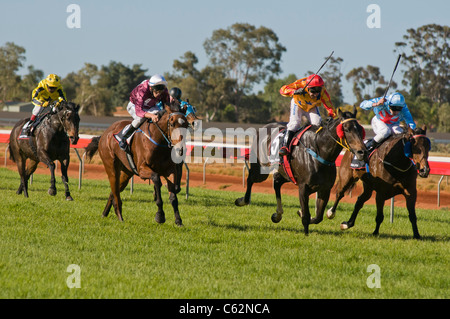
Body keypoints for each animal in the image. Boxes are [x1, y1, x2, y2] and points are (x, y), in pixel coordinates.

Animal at [234, 107, 368, 235]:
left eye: (360, 130)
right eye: (346, 129)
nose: (363, 152)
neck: (319, 152)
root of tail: (264, 127)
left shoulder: (325, 189)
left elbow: (318, 217)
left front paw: (302, 213)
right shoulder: (303, 188)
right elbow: (306, 216)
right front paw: (306, 234)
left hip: (286, 174)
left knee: (277, 182)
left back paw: (277, 214)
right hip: (261, 169)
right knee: (251, 179)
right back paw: (242, 201)